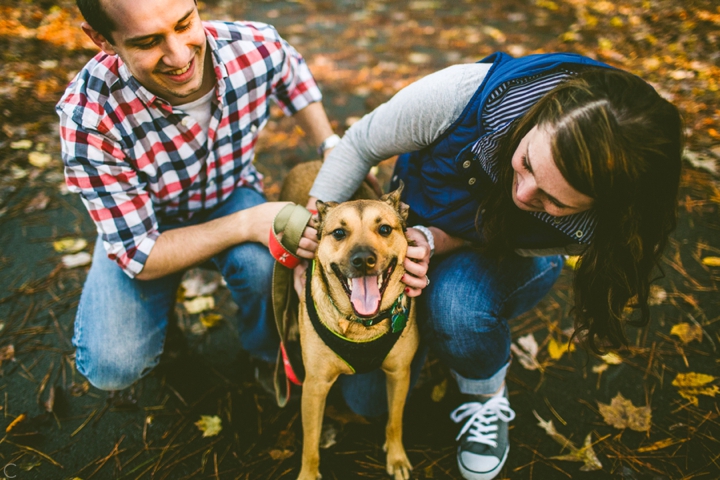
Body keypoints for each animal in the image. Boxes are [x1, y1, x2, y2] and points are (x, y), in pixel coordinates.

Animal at [280, 162, 416, 480]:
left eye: (384, 229)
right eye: (339, 232)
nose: (363, 259)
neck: (360, 325)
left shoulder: (399, 373)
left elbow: (395, 421)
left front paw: (396, 457)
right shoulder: (315, 386)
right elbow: (310, 443)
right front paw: (308, 474)